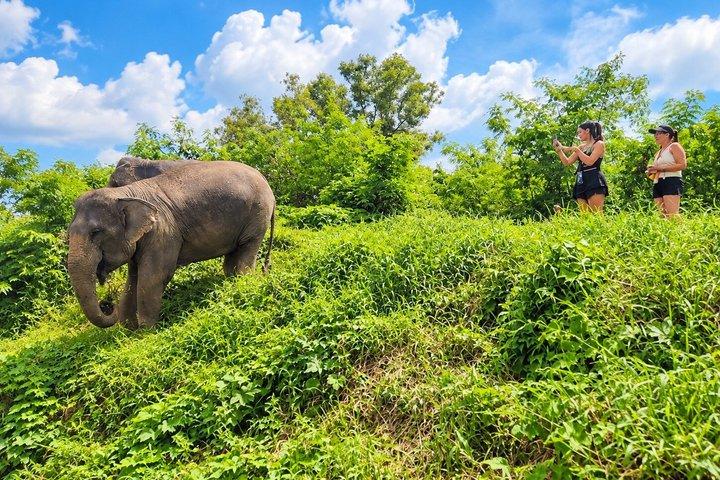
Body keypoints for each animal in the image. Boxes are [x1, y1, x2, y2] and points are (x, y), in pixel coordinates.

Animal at [67, 161, 275, 330]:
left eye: (96, 232)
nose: (108, 305)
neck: (127, 194)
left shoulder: (163, 233)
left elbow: (153, 277)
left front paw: (145, 333)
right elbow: (133, 278)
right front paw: (127, 331)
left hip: (258, 214)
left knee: (247, 250)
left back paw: (242, 283)